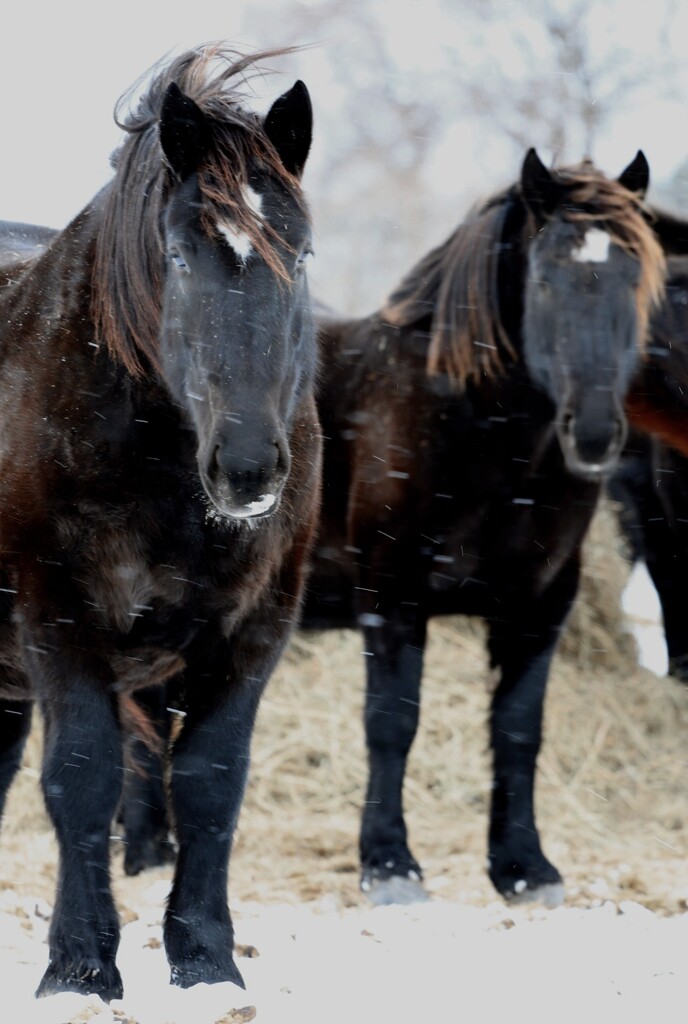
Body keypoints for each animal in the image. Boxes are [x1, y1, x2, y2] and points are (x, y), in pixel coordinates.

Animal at [0, 46, 319, 999]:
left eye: (304, 252)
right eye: (178, 255)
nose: (248, 468)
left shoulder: (255, 630)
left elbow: (211, 786)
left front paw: (207, 962)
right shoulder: (58, 615)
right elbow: (82, 778)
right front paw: (79, 968)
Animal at [301, 149, 667, 905]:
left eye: (633, 279)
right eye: (545, 279)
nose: (594, 433)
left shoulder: (538, 609)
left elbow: (518, 731)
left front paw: (524, 867)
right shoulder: (392, 600)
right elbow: (392, 723)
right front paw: (389, 865)